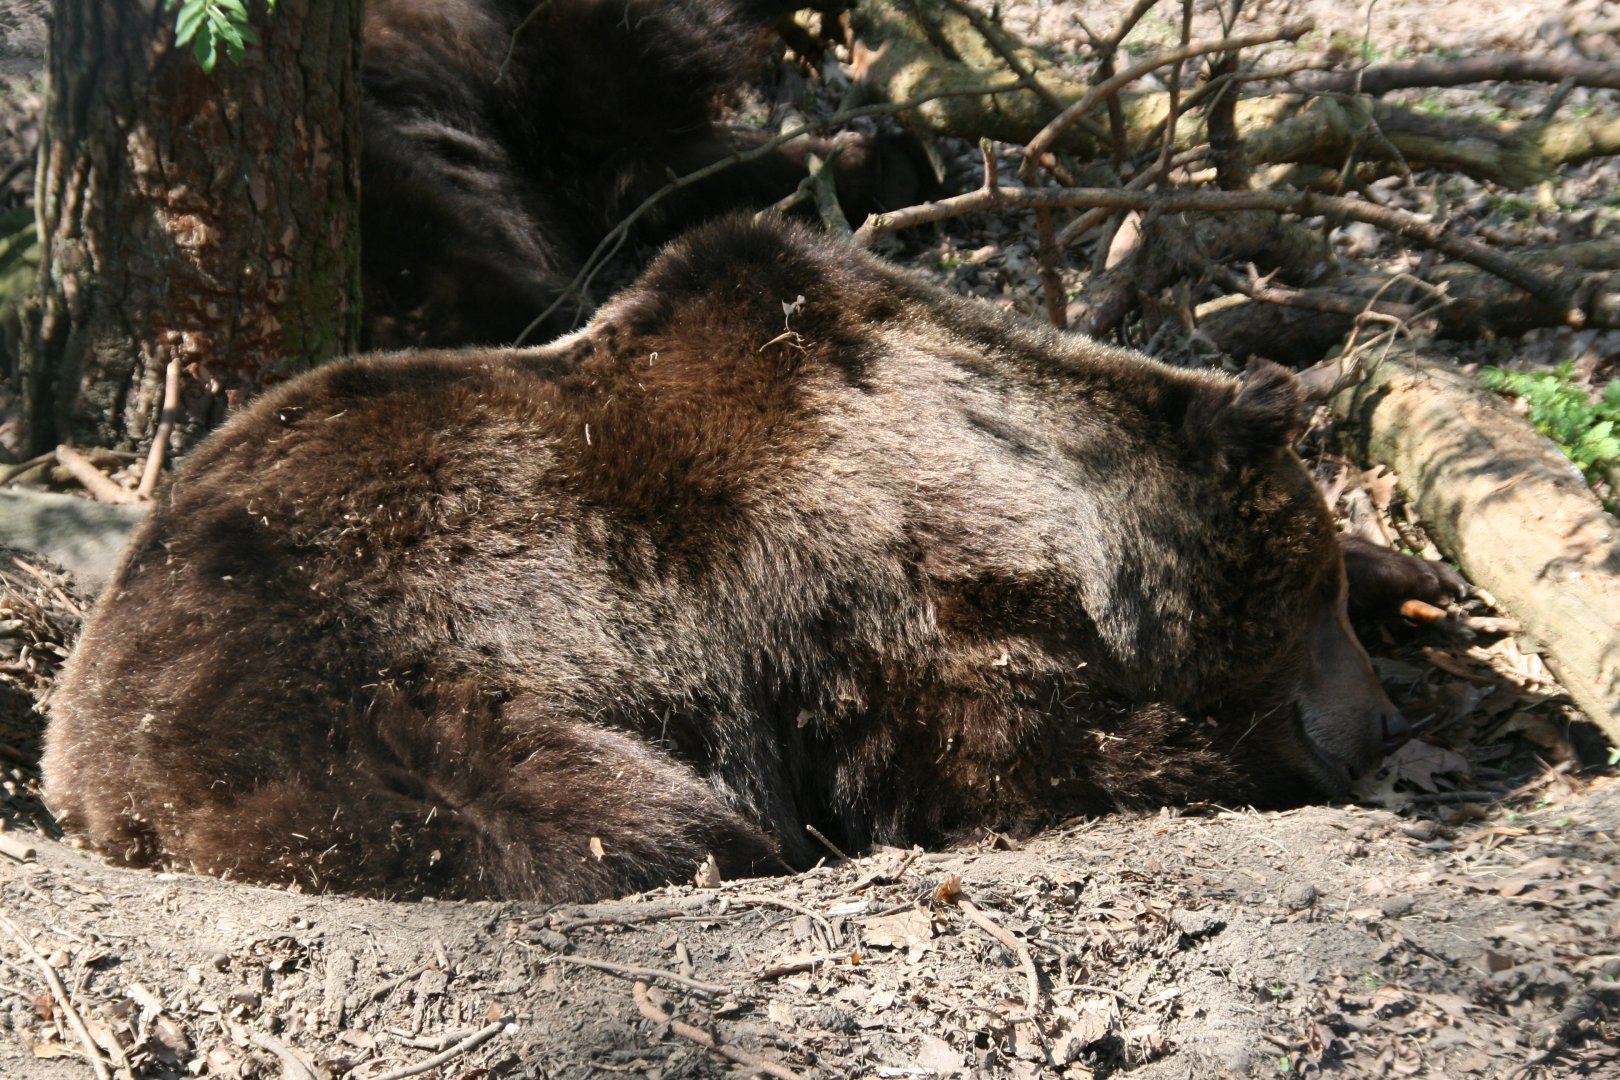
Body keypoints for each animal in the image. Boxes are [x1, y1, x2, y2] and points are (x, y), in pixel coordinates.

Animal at [44, 216, 1414, 903]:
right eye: (1314, 597)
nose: (1379, 725)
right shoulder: (862, 598)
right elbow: (1011, 755)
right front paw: (1215, 753)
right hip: (352, 684)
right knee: (597, 812)